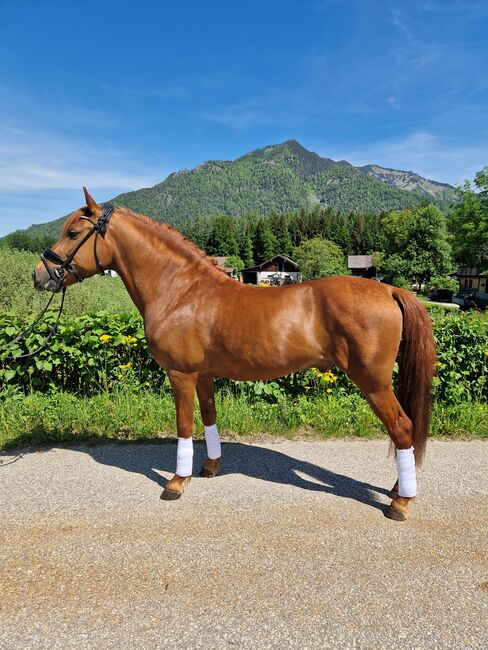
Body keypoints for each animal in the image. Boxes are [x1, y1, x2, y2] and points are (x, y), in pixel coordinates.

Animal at [34, 187, 436, 516]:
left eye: (73, 233)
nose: (40, 274)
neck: (181, 292)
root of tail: (390, 290)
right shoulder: (204, 375)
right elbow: (209, 418)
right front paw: (210, 468)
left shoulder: (180, 375)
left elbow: (184, 425)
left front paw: (176, 483)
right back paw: (398, 489)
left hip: (373, 383)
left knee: (402, 428)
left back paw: (401, 502)